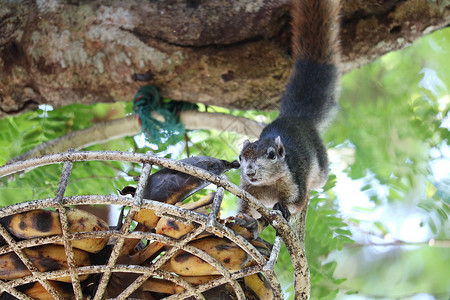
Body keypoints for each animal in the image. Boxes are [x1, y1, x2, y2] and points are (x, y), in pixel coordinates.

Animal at [237, 0, 340, 239]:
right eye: (240, 157)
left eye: (272, 155)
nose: (250, 171)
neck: (268, 185)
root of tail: (296, 117)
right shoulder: (247, 190)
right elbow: (245, 208)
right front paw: (243, 218)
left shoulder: (296, 181)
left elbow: (297, 202)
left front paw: (282, 207)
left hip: (320, 170)